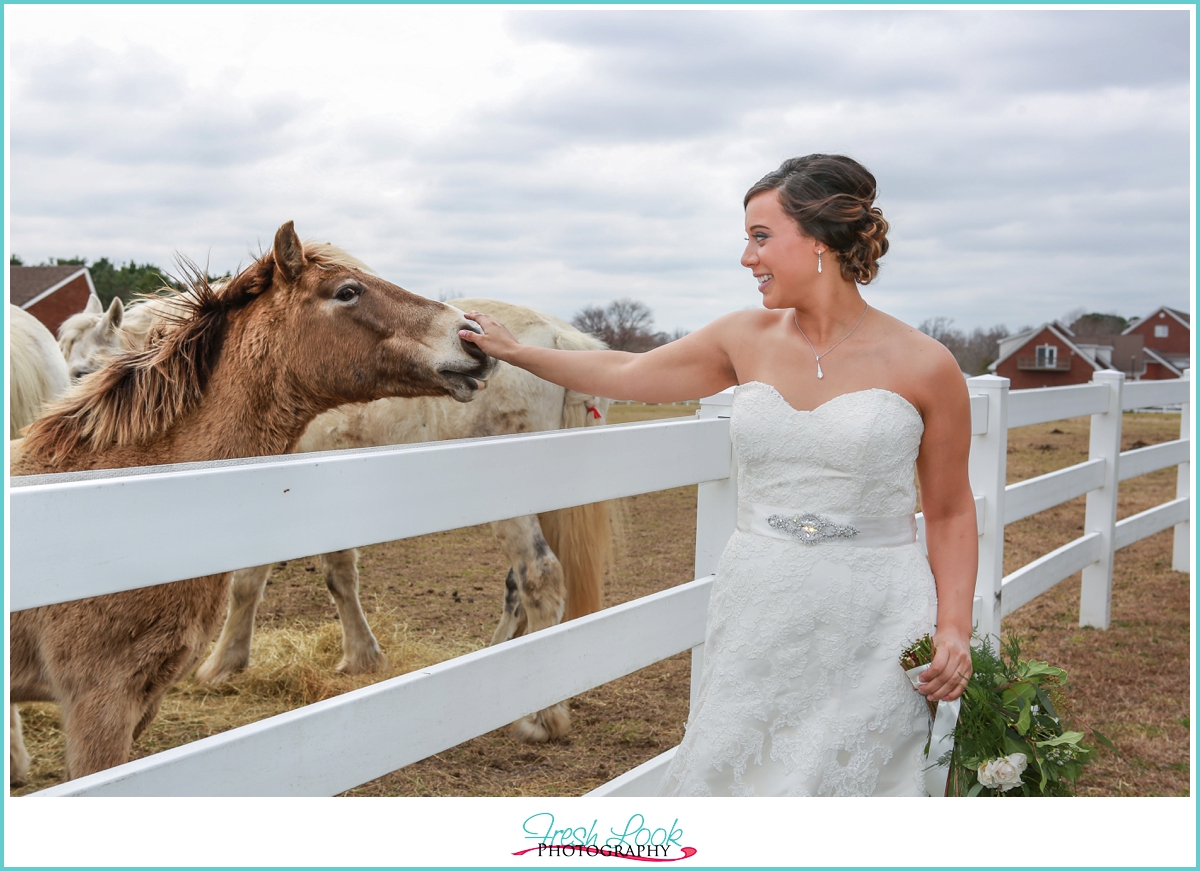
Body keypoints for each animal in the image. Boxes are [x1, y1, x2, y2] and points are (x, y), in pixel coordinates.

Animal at [60, 293, 614, 743]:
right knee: (517, 587)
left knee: (539, 578)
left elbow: (258, 580)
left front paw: (224, 663)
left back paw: (540, 718)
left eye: (82, 372)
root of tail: (558, 337)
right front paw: (360, 657)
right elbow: (332, 576)